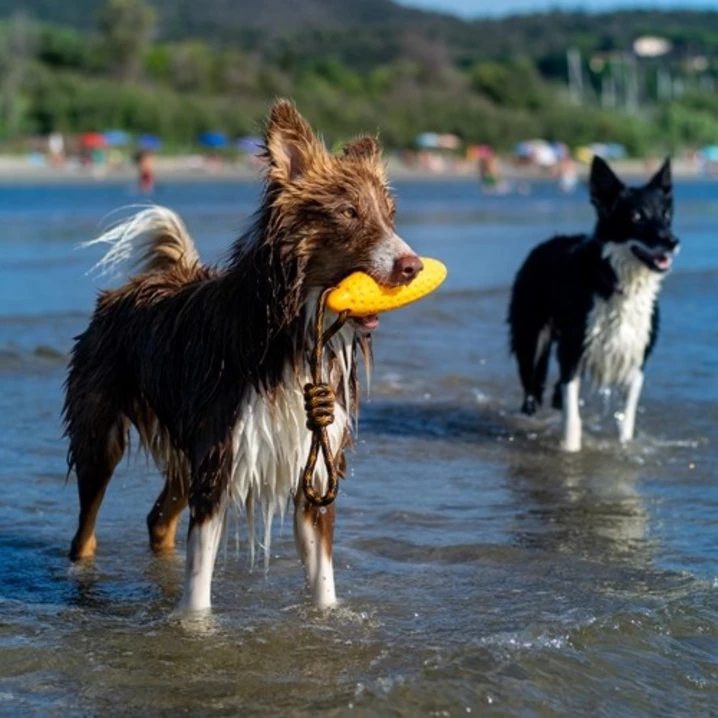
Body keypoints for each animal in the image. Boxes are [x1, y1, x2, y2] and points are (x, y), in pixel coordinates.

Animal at [63, 100, 422, 612]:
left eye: (390, 215)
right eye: (348, 211)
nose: (413, 266)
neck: (292, 338)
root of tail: (123, 292)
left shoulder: (313, 463)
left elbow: (324, 582)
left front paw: (329, 621)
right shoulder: (220, 457)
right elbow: (199, 589)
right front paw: (195, 625)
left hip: (184, 446)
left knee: (158, 519)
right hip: (101, 434)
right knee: (86, 529)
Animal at [512, 158, 680, 452]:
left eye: (666, 215)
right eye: (636, 216)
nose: (672, 242)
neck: (616, 281)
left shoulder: (635, 358)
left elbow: (626, 420)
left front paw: (624, 449)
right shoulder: (572, 352)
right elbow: (573, 419)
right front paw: (570, 452)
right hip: (530, 339)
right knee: (531, 391)